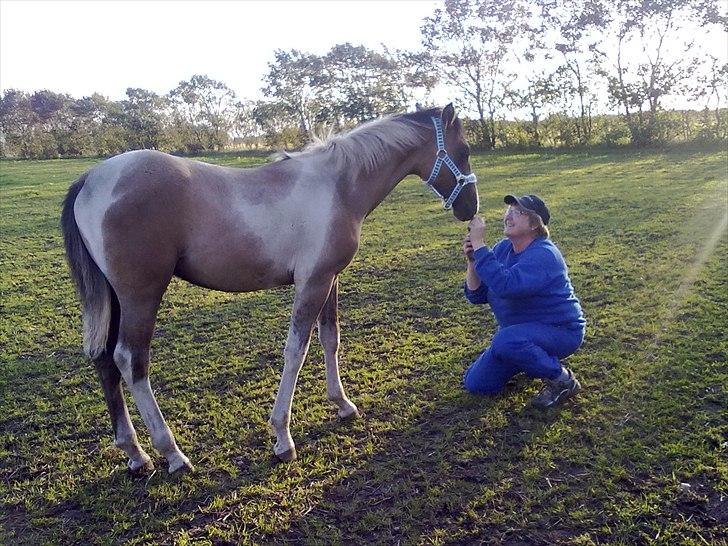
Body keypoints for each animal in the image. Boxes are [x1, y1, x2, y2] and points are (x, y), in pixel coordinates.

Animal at [61, 102, 478, 472]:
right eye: (465, 150)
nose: (470, 208)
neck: (338, 186)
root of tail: (91, 179)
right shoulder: (312, 282)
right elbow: (296, 350)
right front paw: (282, 438)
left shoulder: (330, 278)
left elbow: (330, 338)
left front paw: (342, 405)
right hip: (141, 297)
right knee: (130, 361)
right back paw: (173, 455)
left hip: (116, 299)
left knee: (105, 360)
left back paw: (135, 454)